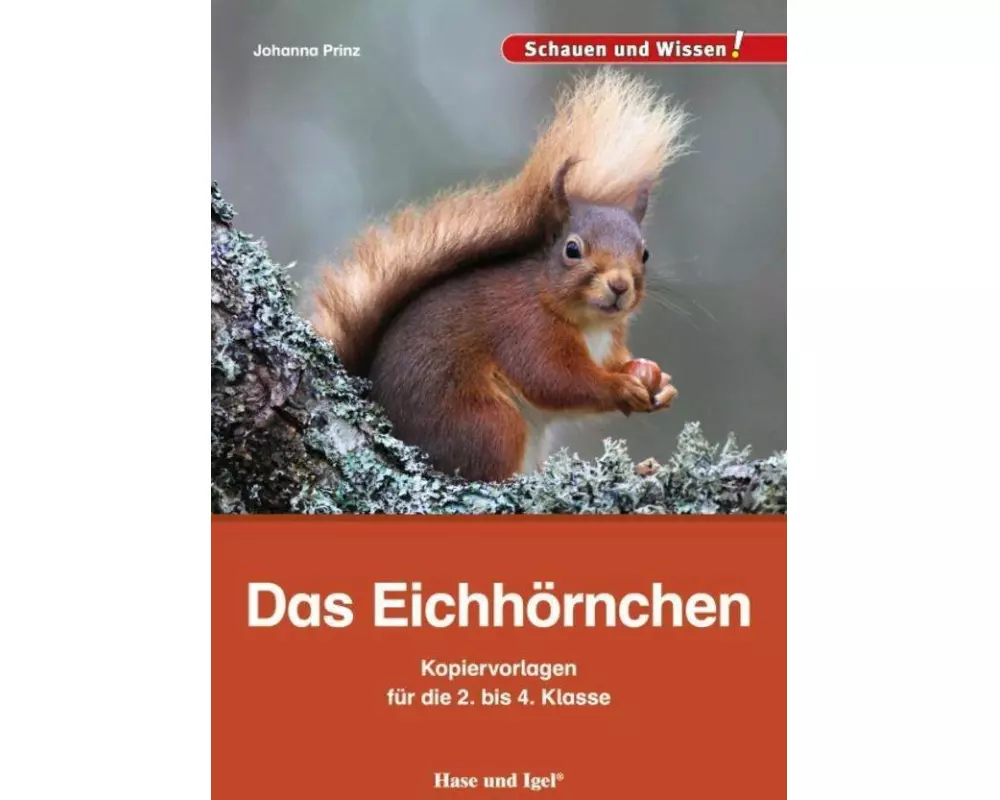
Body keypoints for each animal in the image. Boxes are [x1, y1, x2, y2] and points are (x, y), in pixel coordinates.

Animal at [312, 69, 689, 482]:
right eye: (572, 250)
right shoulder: (525, 330)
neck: (589, 323)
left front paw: (657, 379)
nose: (620, 286)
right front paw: (620, 386)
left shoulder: (608, 341)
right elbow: (555, 381)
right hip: (489, 424)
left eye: (645, 253)